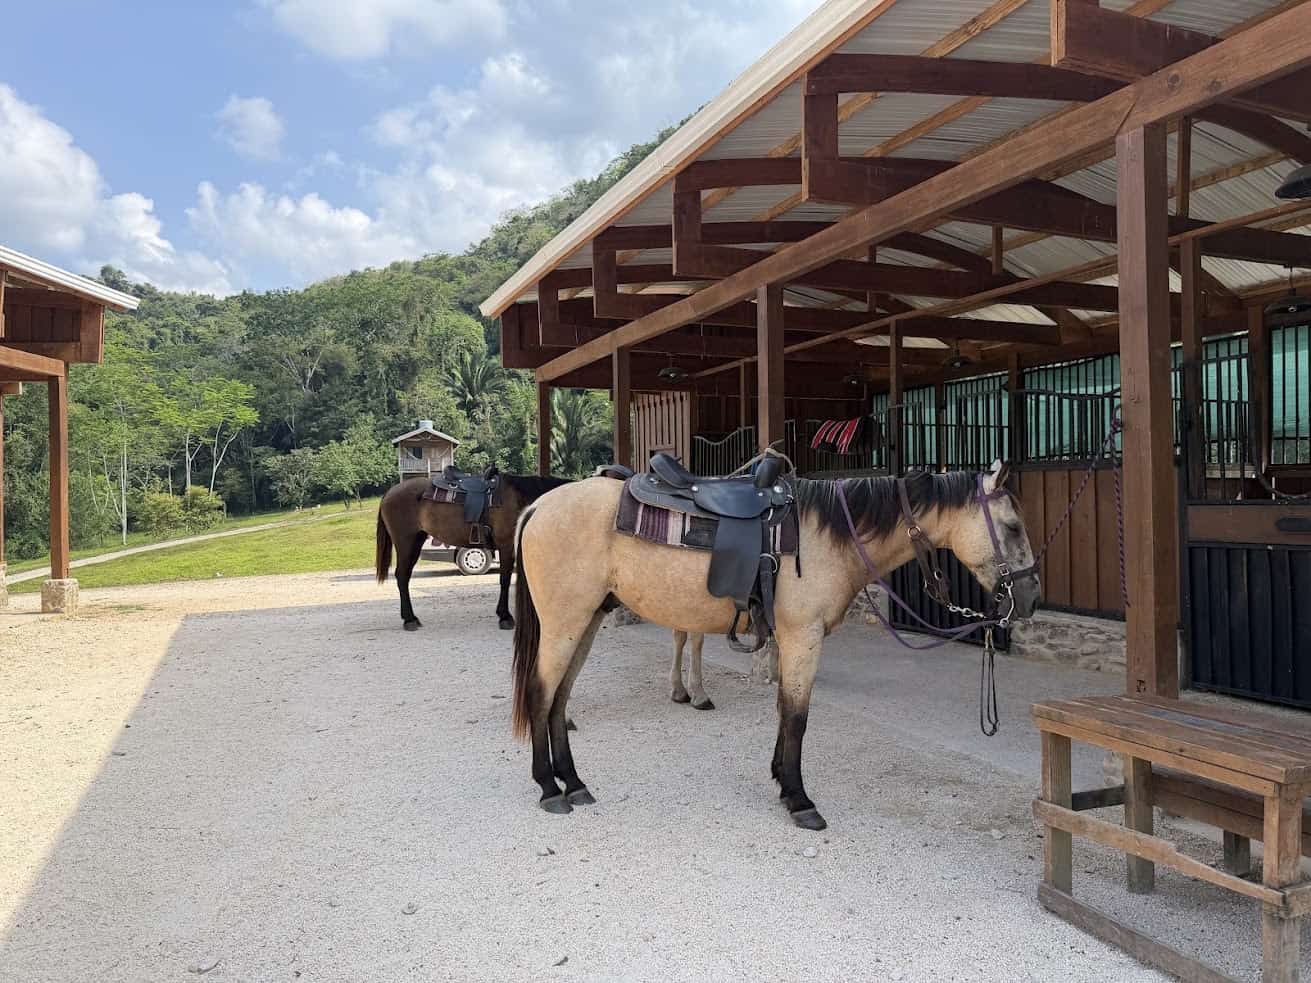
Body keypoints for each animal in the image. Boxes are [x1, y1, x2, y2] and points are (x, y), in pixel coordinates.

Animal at [375, 473, 570, 631]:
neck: (520, 499)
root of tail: (390, 492)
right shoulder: (507, 546)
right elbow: (505, 580)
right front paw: (505, 617)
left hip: (415, 542)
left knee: (405, 576)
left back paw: (412, 618)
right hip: (405, 543)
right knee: (402, 576)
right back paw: (409, 620)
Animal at [510, 461, 1040, 830]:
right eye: (1013, 526)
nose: (1031, 596)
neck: (829, 535)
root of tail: (539, 507)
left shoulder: (789, 641)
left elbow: (784, 712)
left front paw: (781, 783)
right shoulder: (804, 637)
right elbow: (799, 717)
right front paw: (800, 800)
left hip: (586, 622)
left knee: (560, 700)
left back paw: (575, 784)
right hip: (564, 624)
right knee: (540, 694)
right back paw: (549, 789)